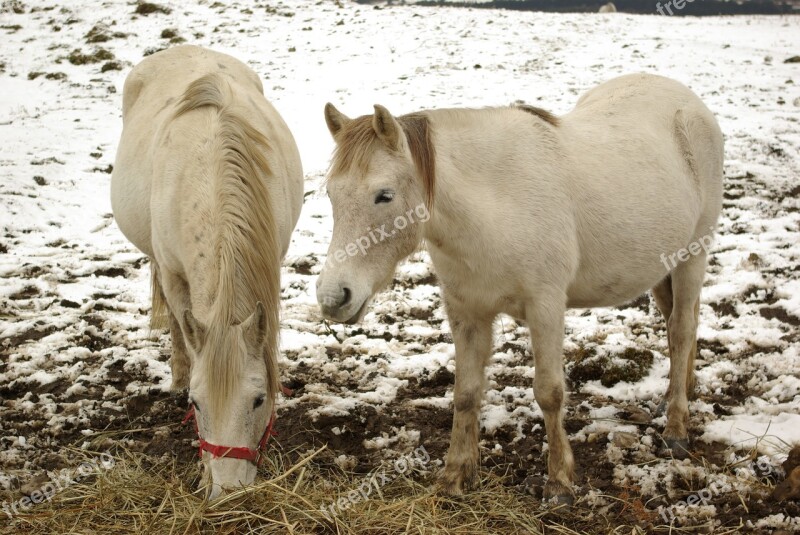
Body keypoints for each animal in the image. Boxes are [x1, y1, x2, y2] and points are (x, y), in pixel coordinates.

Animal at [109, 46, 304, 502]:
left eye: (258, 400)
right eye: (197, 405)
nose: (228, 493)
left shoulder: (274, 259)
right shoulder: (175, 274)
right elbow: (183, 325)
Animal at [316, 74, 720, 502]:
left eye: (384, 195)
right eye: (331, 194)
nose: (333, 297)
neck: (496, 205)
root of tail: (685, 99)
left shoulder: (546, 306)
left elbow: (549, 392)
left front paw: (559, 482)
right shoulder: (466, 310)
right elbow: (466, 393)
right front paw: (454, 476)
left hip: (693, 254)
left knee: (681, 330)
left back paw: (675, 428)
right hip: (663, 265)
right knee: (680, 323)